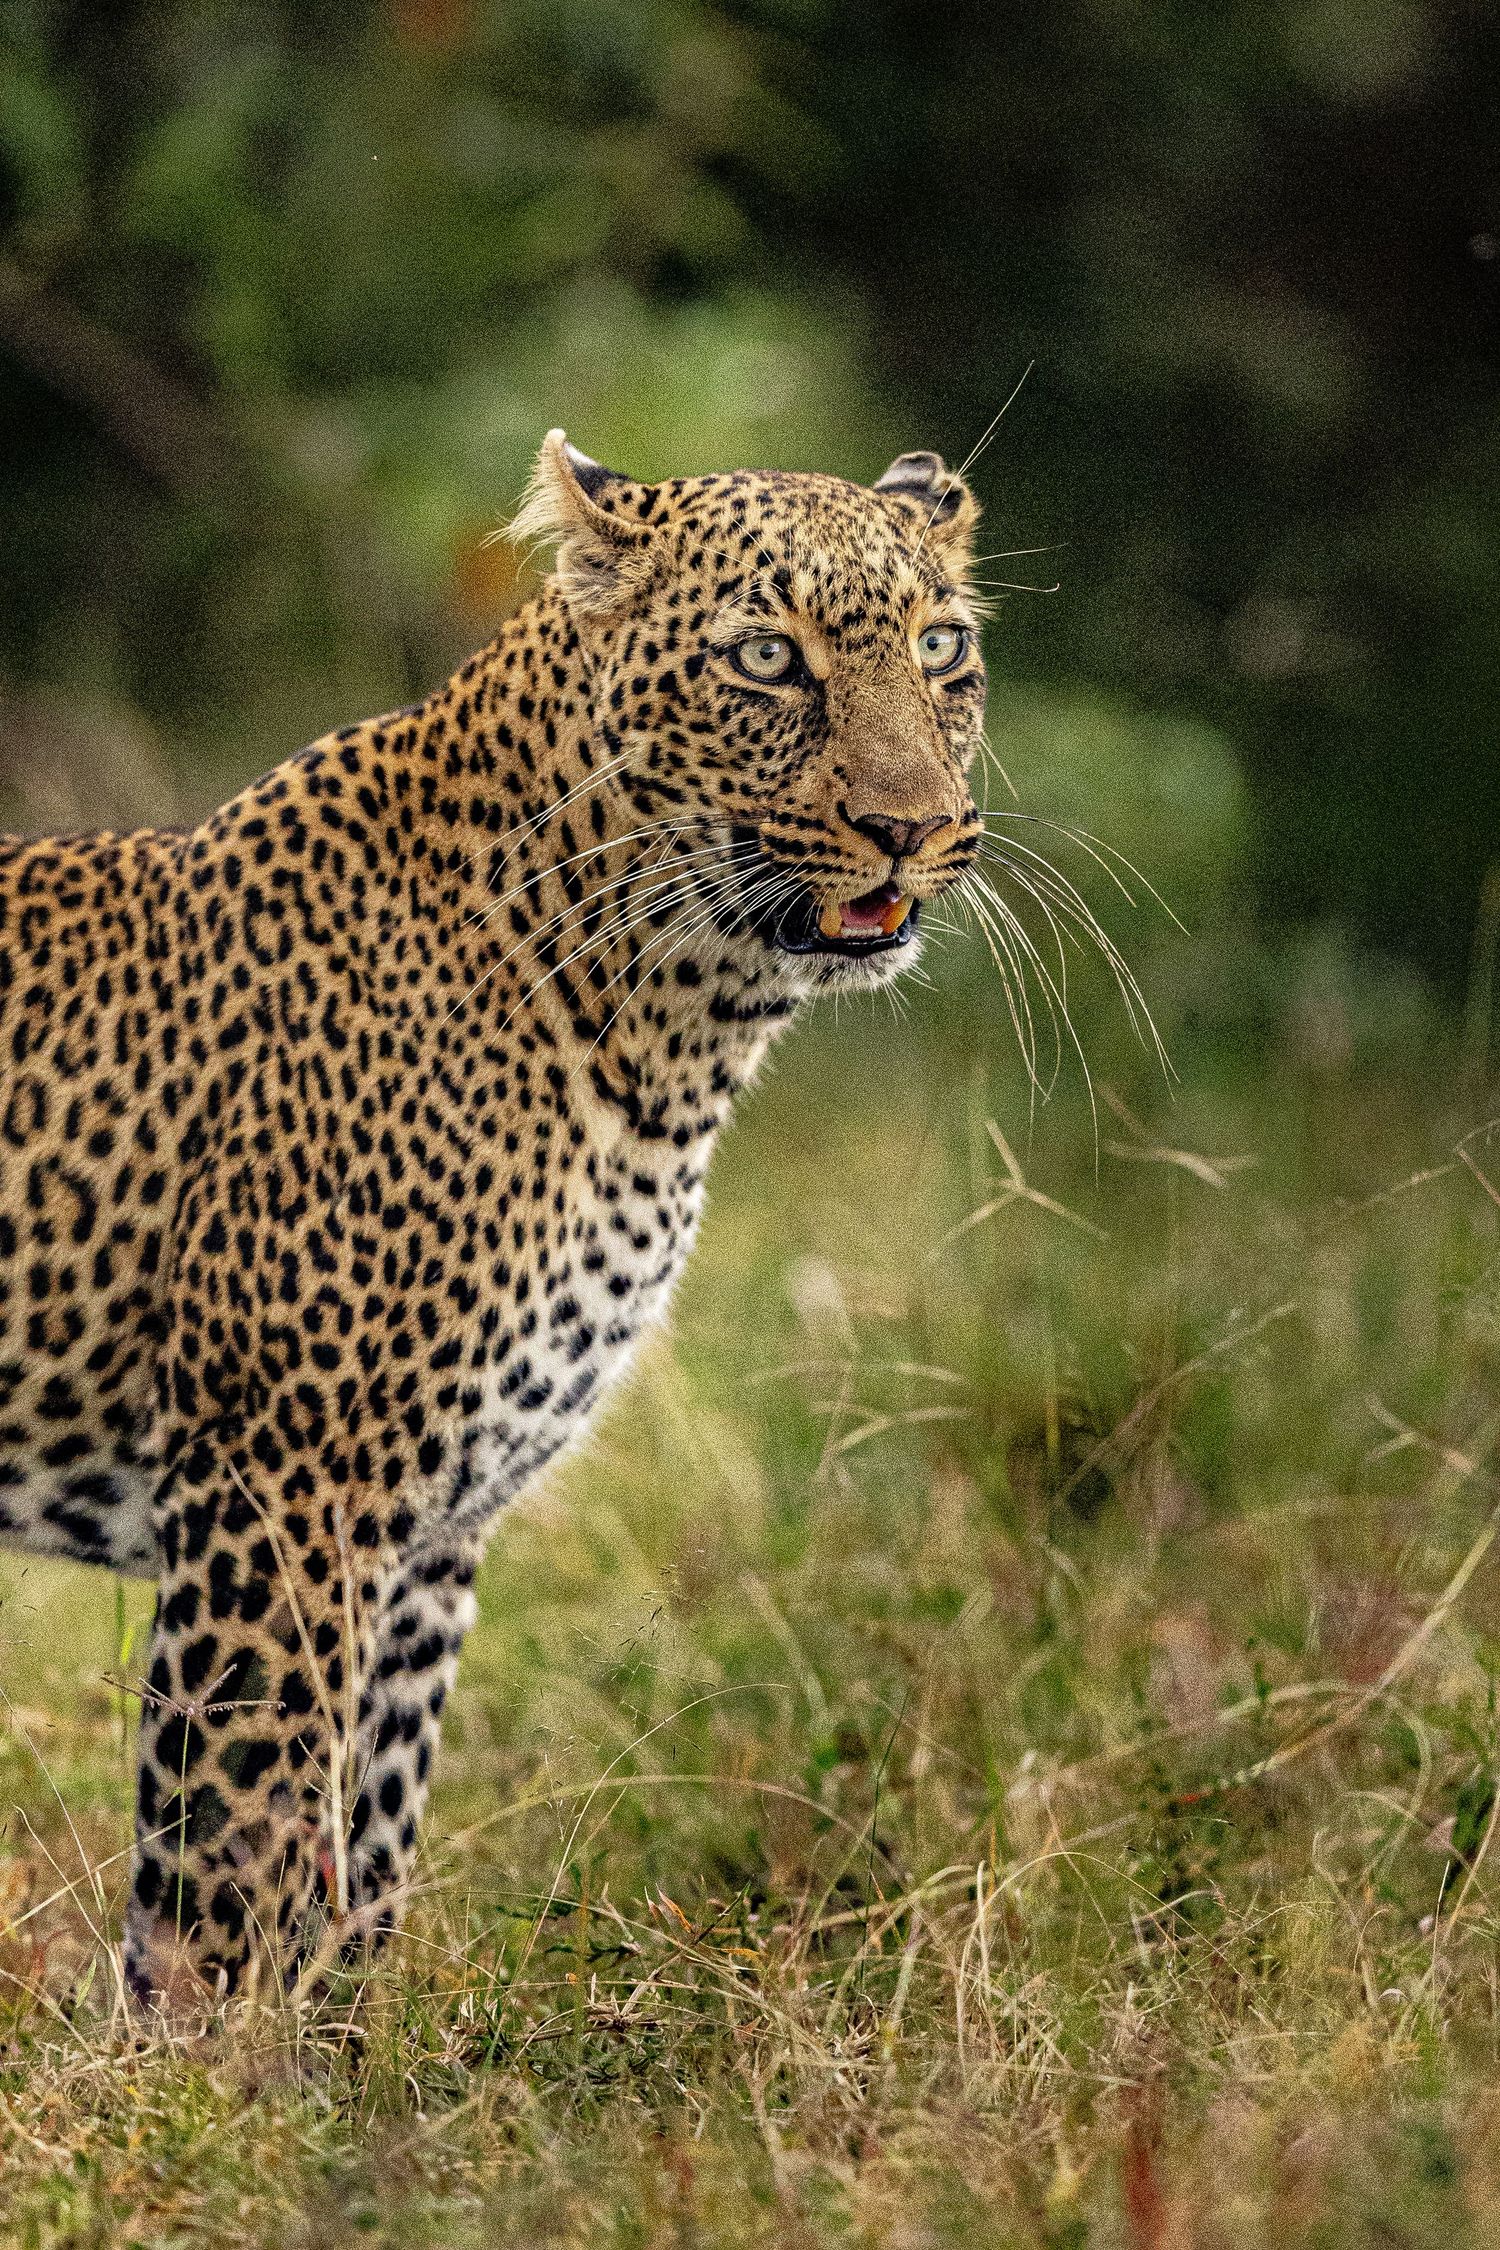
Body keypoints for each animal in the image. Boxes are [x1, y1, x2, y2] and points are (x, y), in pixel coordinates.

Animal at [0, 430, 988, 2014]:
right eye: (767, 658)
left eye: (940, 646)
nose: (915, 830)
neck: (670, 1040)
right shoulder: (281, 1483)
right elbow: (235, 1838)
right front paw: (207, 2066)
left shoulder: (431, 1536)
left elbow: (367, 1843)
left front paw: (335, 2058)